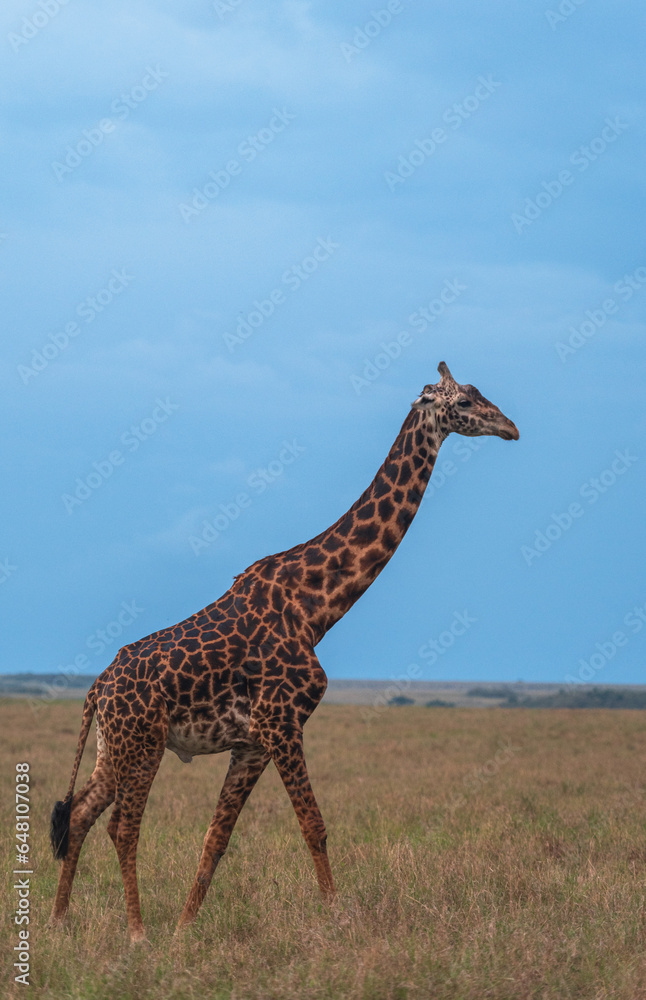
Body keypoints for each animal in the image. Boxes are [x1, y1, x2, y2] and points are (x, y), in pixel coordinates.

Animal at [50, 361, 519, 943]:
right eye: (465, 402)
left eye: (479, 394)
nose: (510, 428)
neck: (317, 607)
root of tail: (97, 688)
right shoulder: (282, 722)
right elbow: (314, 826)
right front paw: (339, 918)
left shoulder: (253, 741)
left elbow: (216, 838)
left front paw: (184, 930)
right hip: (142, 743)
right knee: (122, 825)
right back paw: (136, 932)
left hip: (111, 747)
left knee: (80, 813)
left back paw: (59, 921)